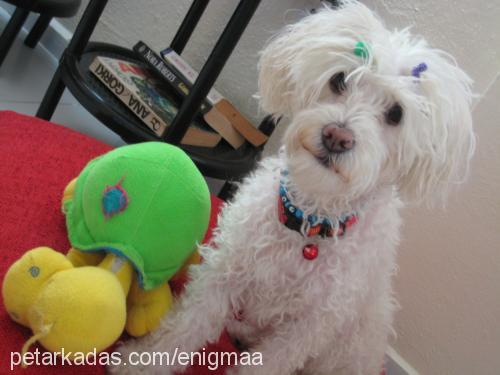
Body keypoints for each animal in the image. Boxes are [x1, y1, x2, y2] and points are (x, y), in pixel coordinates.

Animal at [112, 1, 472, 374]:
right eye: (339, 79)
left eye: (396, 113)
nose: (337, 136)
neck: (310, 222)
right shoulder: (226, 270)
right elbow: (187, 324)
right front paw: (142, 363)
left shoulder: (309, 326)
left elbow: (266, 363)